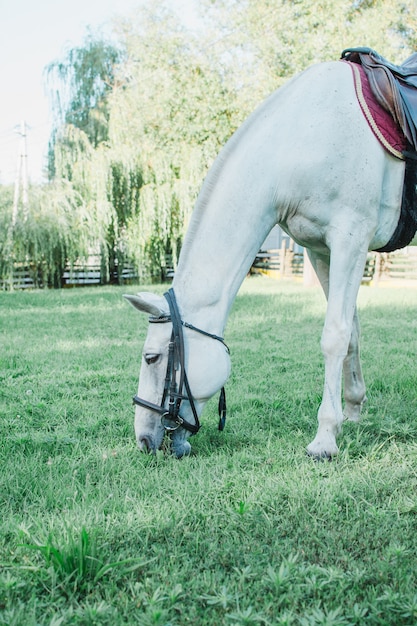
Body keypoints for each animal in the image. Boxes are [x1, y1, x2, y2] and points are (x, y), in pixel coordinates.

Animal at [125, 61, 404, 456]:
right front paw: (351, 413)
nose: (144, 440)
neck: (305, 136)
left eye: (151, 357)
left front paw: (325, 437)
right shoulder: (321, 250)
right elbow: (351, 332)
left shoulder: (351, 239)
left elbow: (334, 335)